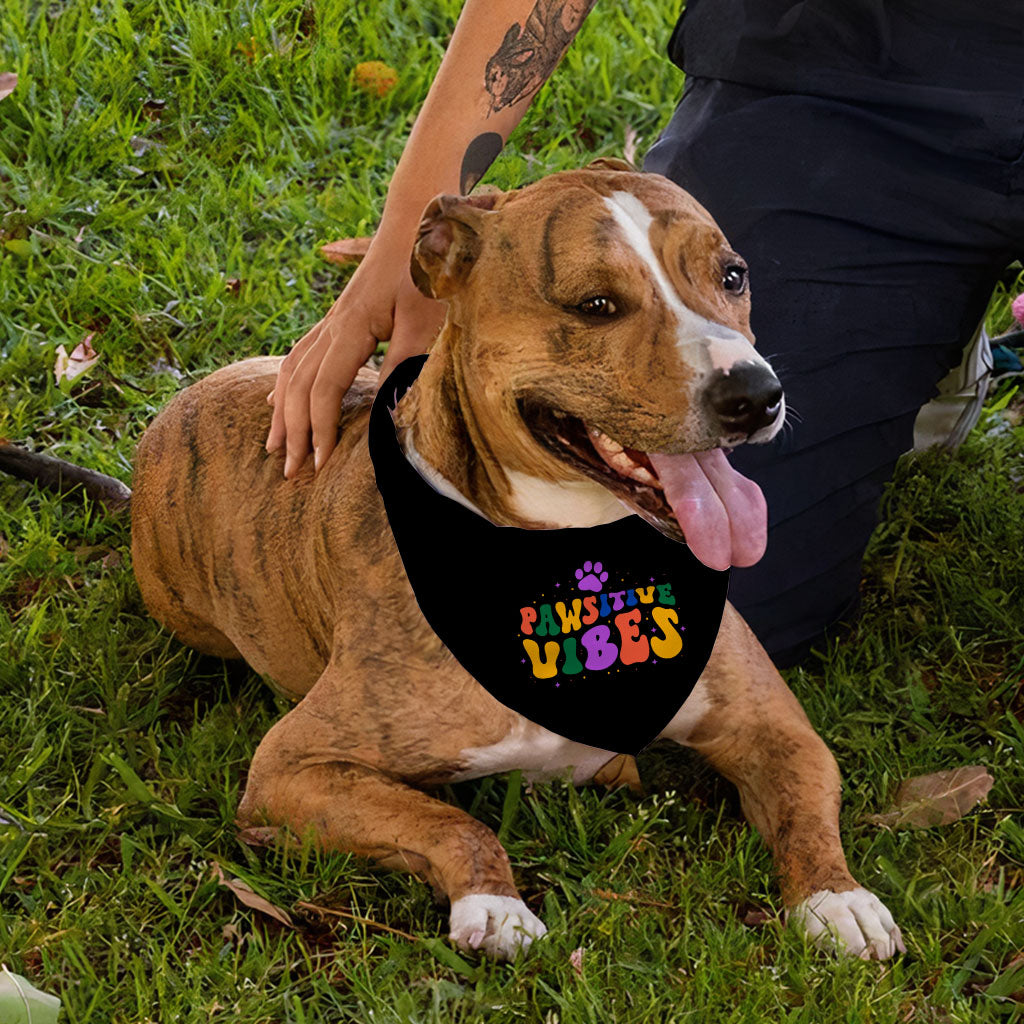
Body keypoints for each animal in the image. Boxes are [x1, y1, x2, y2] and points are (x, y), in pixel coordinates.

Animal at [123, 159, 901, 958]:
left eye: (733, 276)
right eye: (596, 305)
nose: (755, 393)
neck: (568, 554)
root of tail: (182, 401)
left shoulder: (774, 728)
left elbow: (806, 807)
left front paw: (838, 897)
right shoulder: (292, 766)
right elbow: (450, 821)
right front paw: (493, 904)